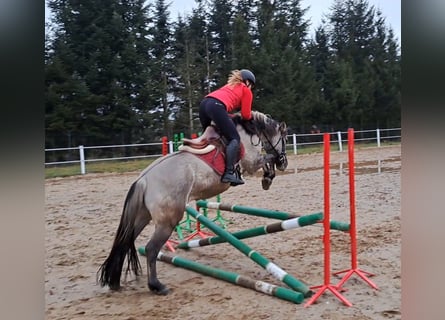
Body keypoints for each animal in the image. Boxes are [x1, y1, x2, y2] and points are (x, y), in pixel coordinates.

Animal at [97, 110, 288, 296]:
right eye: (285, 138)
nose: (284, 163)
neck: (248, 130)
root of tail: (143, 179)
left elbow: (268, 158)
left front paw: (268, 177)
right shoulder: (251, 164)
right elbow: (268, 157)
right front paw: (268, 177)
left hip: (143, 217)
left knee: (124, 242)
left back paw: (114, 282)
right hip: (168, 221)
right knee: (151, 249)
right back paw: (157, 286)